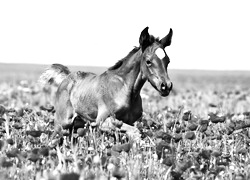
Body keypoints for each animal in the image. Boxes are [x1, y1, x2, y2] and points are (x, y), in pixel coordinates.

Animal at [39, 26, 172, 138]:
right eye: (148, 61)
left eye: (168, 61)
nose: (166, 86)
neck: (125, 89)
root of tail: (67, 78)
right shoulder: (103, 121)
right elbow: (135, 131)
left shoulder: (128, 121)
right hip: (62, 124)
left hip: (77, 124)